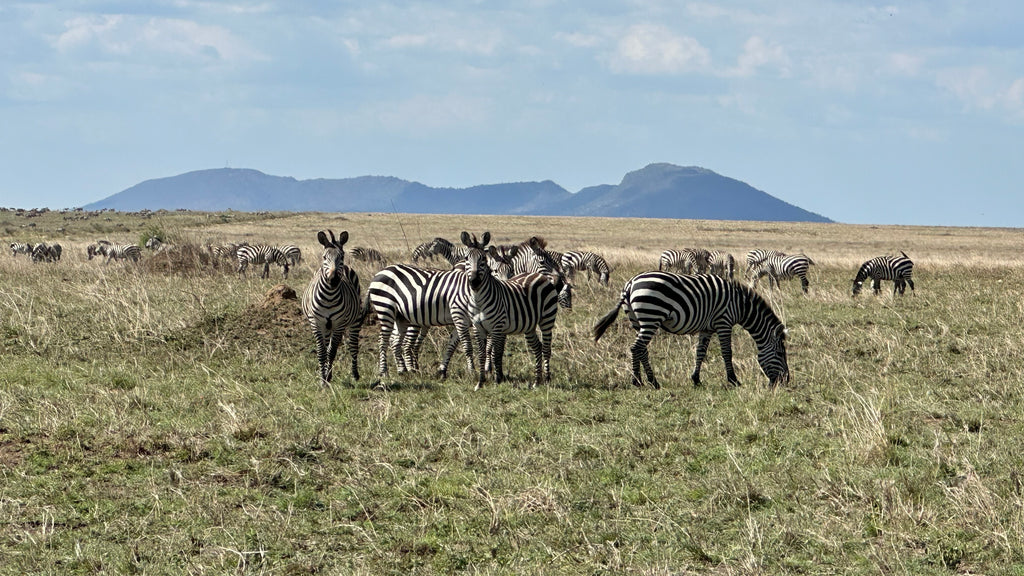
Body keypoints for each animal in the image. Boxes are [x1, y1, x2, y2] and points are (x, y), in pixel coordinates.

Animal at [301, 230, 364, 386]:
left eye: (342, 256)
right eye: (324, 257)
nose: (333, 280)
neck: (329, 296)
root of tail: (347, 268)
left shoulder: (339, 324)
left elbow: (331, 352)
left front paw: (327, 378)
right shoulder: (316, 323)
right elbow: (322, 351)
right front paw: (323, 379)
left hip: (354, 321)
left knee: (353, 346)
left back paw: (355, 375)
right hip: (326, 326)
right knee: (327, 345)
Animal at [460, 233, 559, 389]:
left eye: (483, 259)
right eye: (466, 258)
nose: (475, 282)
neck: (478, 299)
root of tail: (538, 275)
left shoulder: (497, 327)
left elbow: (496, 353)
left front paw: (497, 379)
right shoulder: (478, 328)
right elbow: (482, 354)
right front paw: (481, 382)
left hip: (547, 320)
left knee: (546, 348)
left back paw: (547, 379)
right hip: (529, 326)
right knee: (538, 347)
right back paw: (537, 381)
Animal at [593, 272, 789, 388]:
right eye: (780, 354)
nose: (785, 381)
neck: (741, 305)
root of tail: (630, 284)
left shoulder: (707, 328)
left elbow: (700, 352)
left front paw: (696, 379)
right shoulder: (724, 322)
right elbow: (727, 352)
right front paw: (734, 380)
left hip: (638, 320)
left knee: (642, 349)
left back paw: (649, 380)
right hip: (651, 315)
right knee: (636, 348)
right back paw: (641, 381)